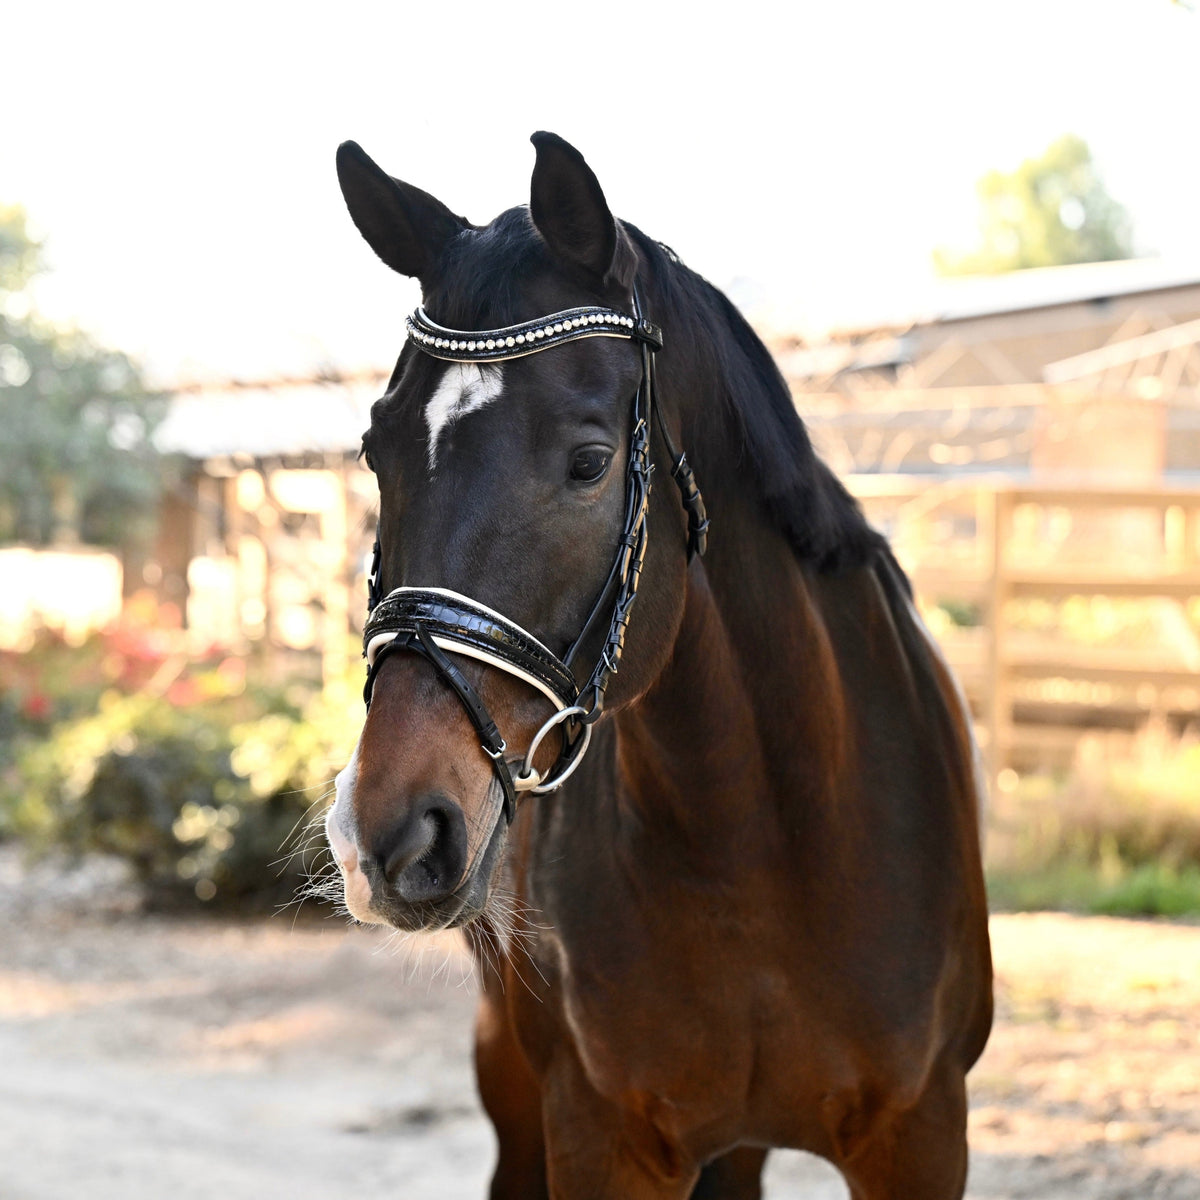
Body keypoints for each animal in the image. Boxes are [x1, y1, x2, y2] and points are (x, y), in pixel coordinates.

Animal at [324, 133, 988, 1200]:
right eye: (376, 451)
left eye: (590, 462)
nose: (383, 832)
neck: (760, 840)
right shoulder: (602, 1136)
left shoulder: (922, 1137)